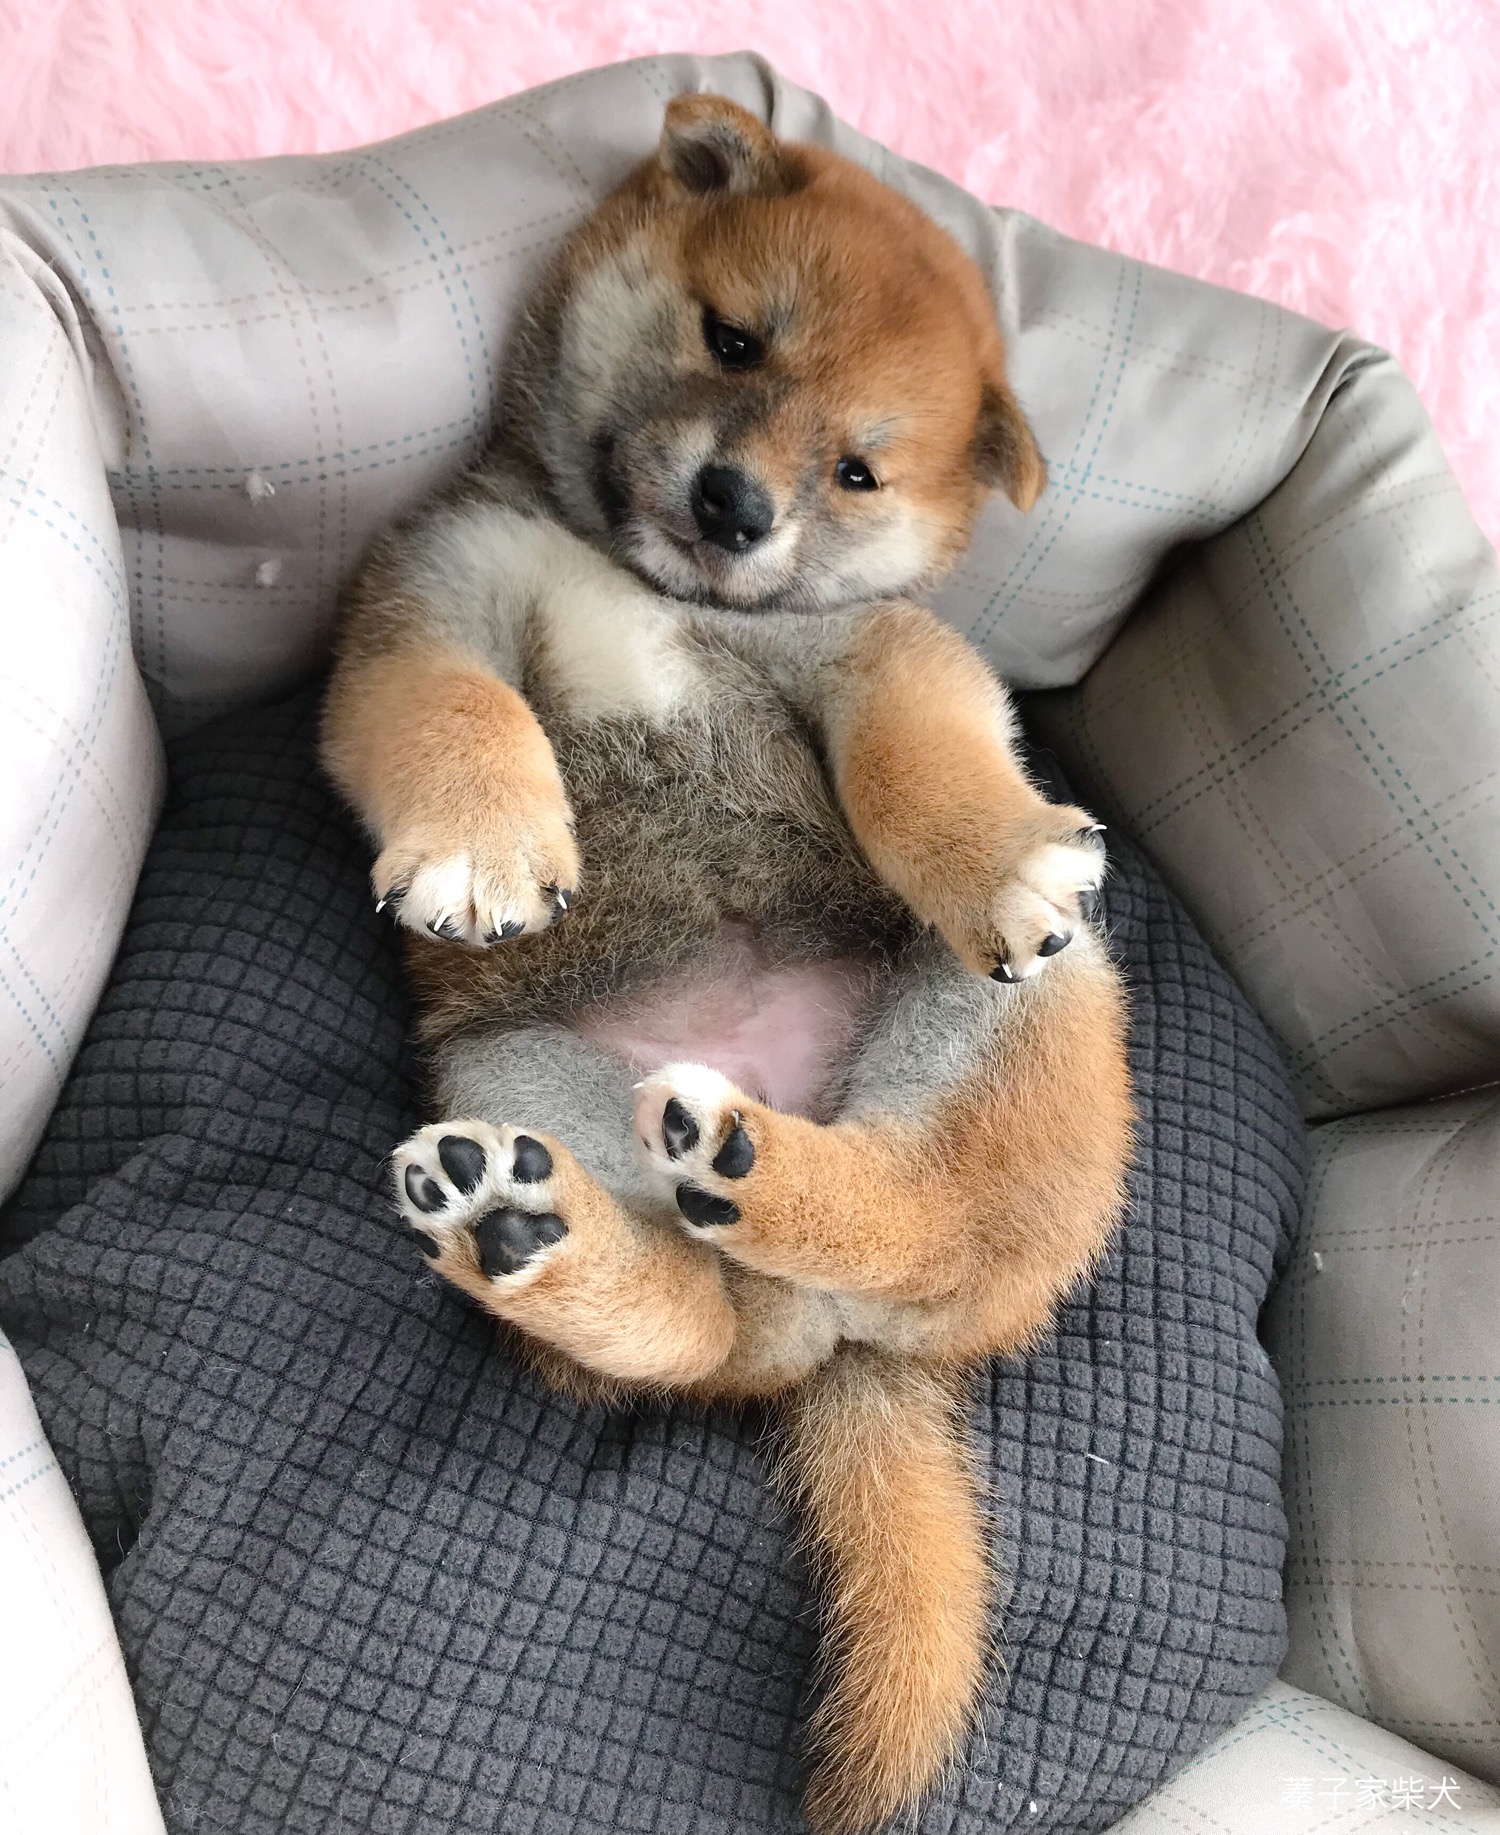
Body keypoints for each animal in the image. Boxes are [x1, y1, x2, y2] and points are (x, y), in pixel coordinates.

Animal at [322, 94, 1132, 1835]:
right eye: (734, 338)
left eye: (856, 467)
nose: (737, 508)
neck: (642, 578)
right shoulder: (427, 610)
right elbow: (456, 713)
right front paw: (489, 844)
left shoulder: (878, 652)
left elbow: (919, 760)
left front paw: (1000, 845)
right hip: (520, 1069)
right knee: (708, 1326)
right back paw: (540, 1226)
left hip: (1001, 1014)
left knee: (912, 1214)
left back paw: (763, 1162)